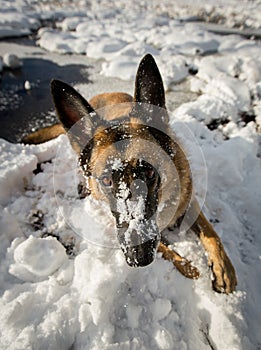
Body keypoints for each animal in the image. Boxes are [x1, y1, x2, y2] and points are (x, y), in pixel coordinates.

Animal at [23, 53, 237, 292]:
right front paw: (189, 267)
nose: (139, 258)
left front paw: (224, 269)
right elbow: (166, 250)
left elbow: (211, 233)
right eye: (106, 180)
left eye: (150, 172)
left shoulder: (188, 200)